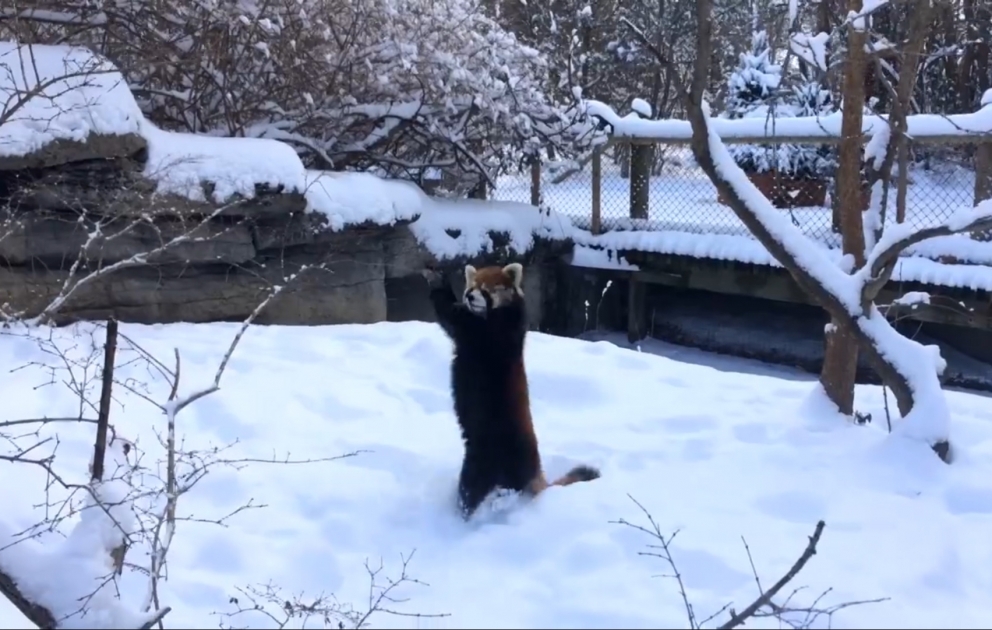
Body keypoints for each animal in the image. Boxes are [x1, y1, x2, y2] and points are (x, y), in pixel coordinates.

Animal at [423, 262, 600, 520]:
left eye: (486, 289)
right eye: (472, 285)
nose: (469, 295)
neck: (491, 315)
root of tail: (535, 470)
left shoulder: (494, 335)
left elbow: (454, 317)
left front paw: (439, 283)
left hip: (496, 458)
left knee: (472, 488)